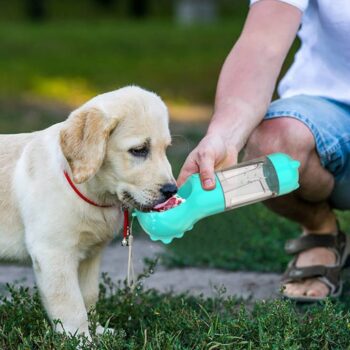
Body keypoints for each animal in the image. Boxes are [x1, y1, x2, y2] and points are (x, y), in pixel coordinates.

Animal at [0, 85, 176, 340]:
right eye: (139, 150)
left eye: (166, 149)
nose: (172, 190)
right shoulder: (53, 253)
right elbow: (71, 304)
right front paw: (81, 339)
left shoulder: (90, 255)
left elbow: (89, 296)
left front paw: (99, 331)